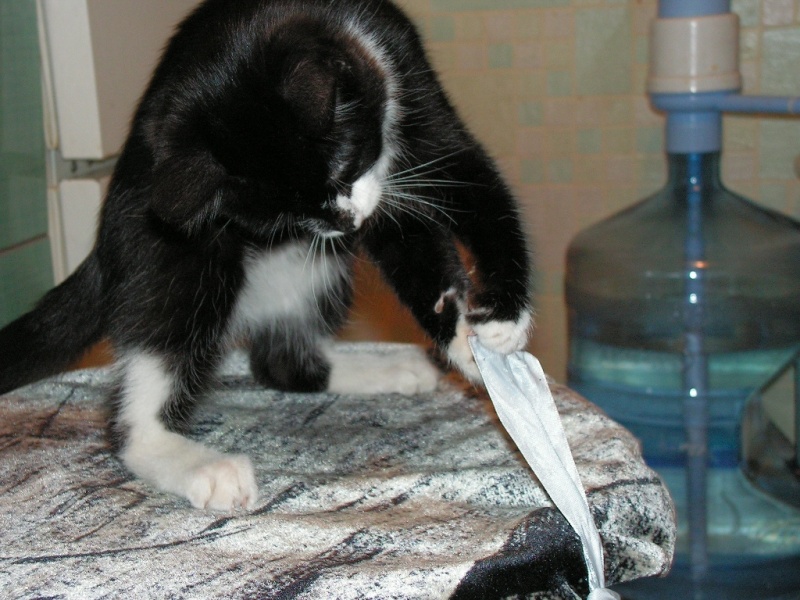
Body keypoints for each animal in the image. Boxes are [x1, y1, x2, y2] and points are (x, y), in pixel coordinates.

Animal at [0, 0, 532, 511]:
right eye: (285, 217)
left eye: (343, 168)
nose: (346, 225)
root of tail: (103, 249)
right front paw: (487, 334)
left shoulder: (406, 75)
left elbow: (462, 194)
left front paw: (484, 331)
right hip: (170, 251)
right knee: (162, 350)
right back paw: (195, 462)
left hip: (309, 271)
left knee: (282, 364)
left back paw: (386, 369)